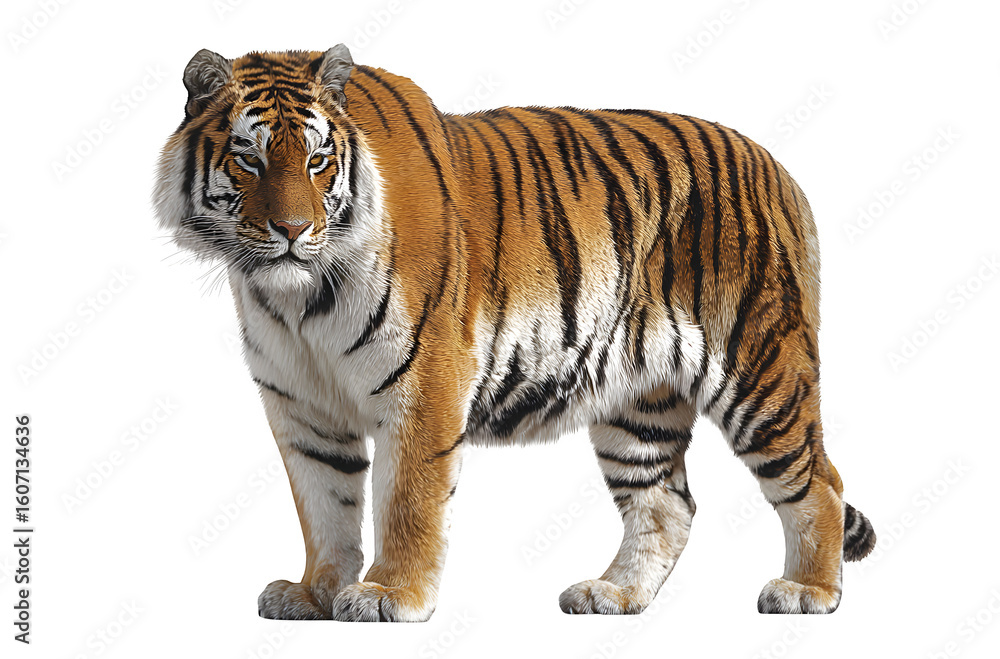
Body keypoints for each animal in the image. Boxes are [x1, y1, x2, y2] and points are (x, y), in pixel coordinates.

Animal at [153, 44, 876, 621]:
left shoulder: (426, 380)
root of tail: (777, 168)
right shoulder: (303, 407)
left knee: (820, 484)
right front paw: (314, 593)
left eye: (318, 160)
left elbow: (408, 500)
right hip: (637, 403)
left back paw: (807, 592)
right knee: (666, 507)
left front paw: (391, 596)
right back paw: (614, 594)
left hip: (759, 371)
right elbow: (323, 505)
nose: (292, 230)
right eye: (248, 159)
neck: (294, 298)